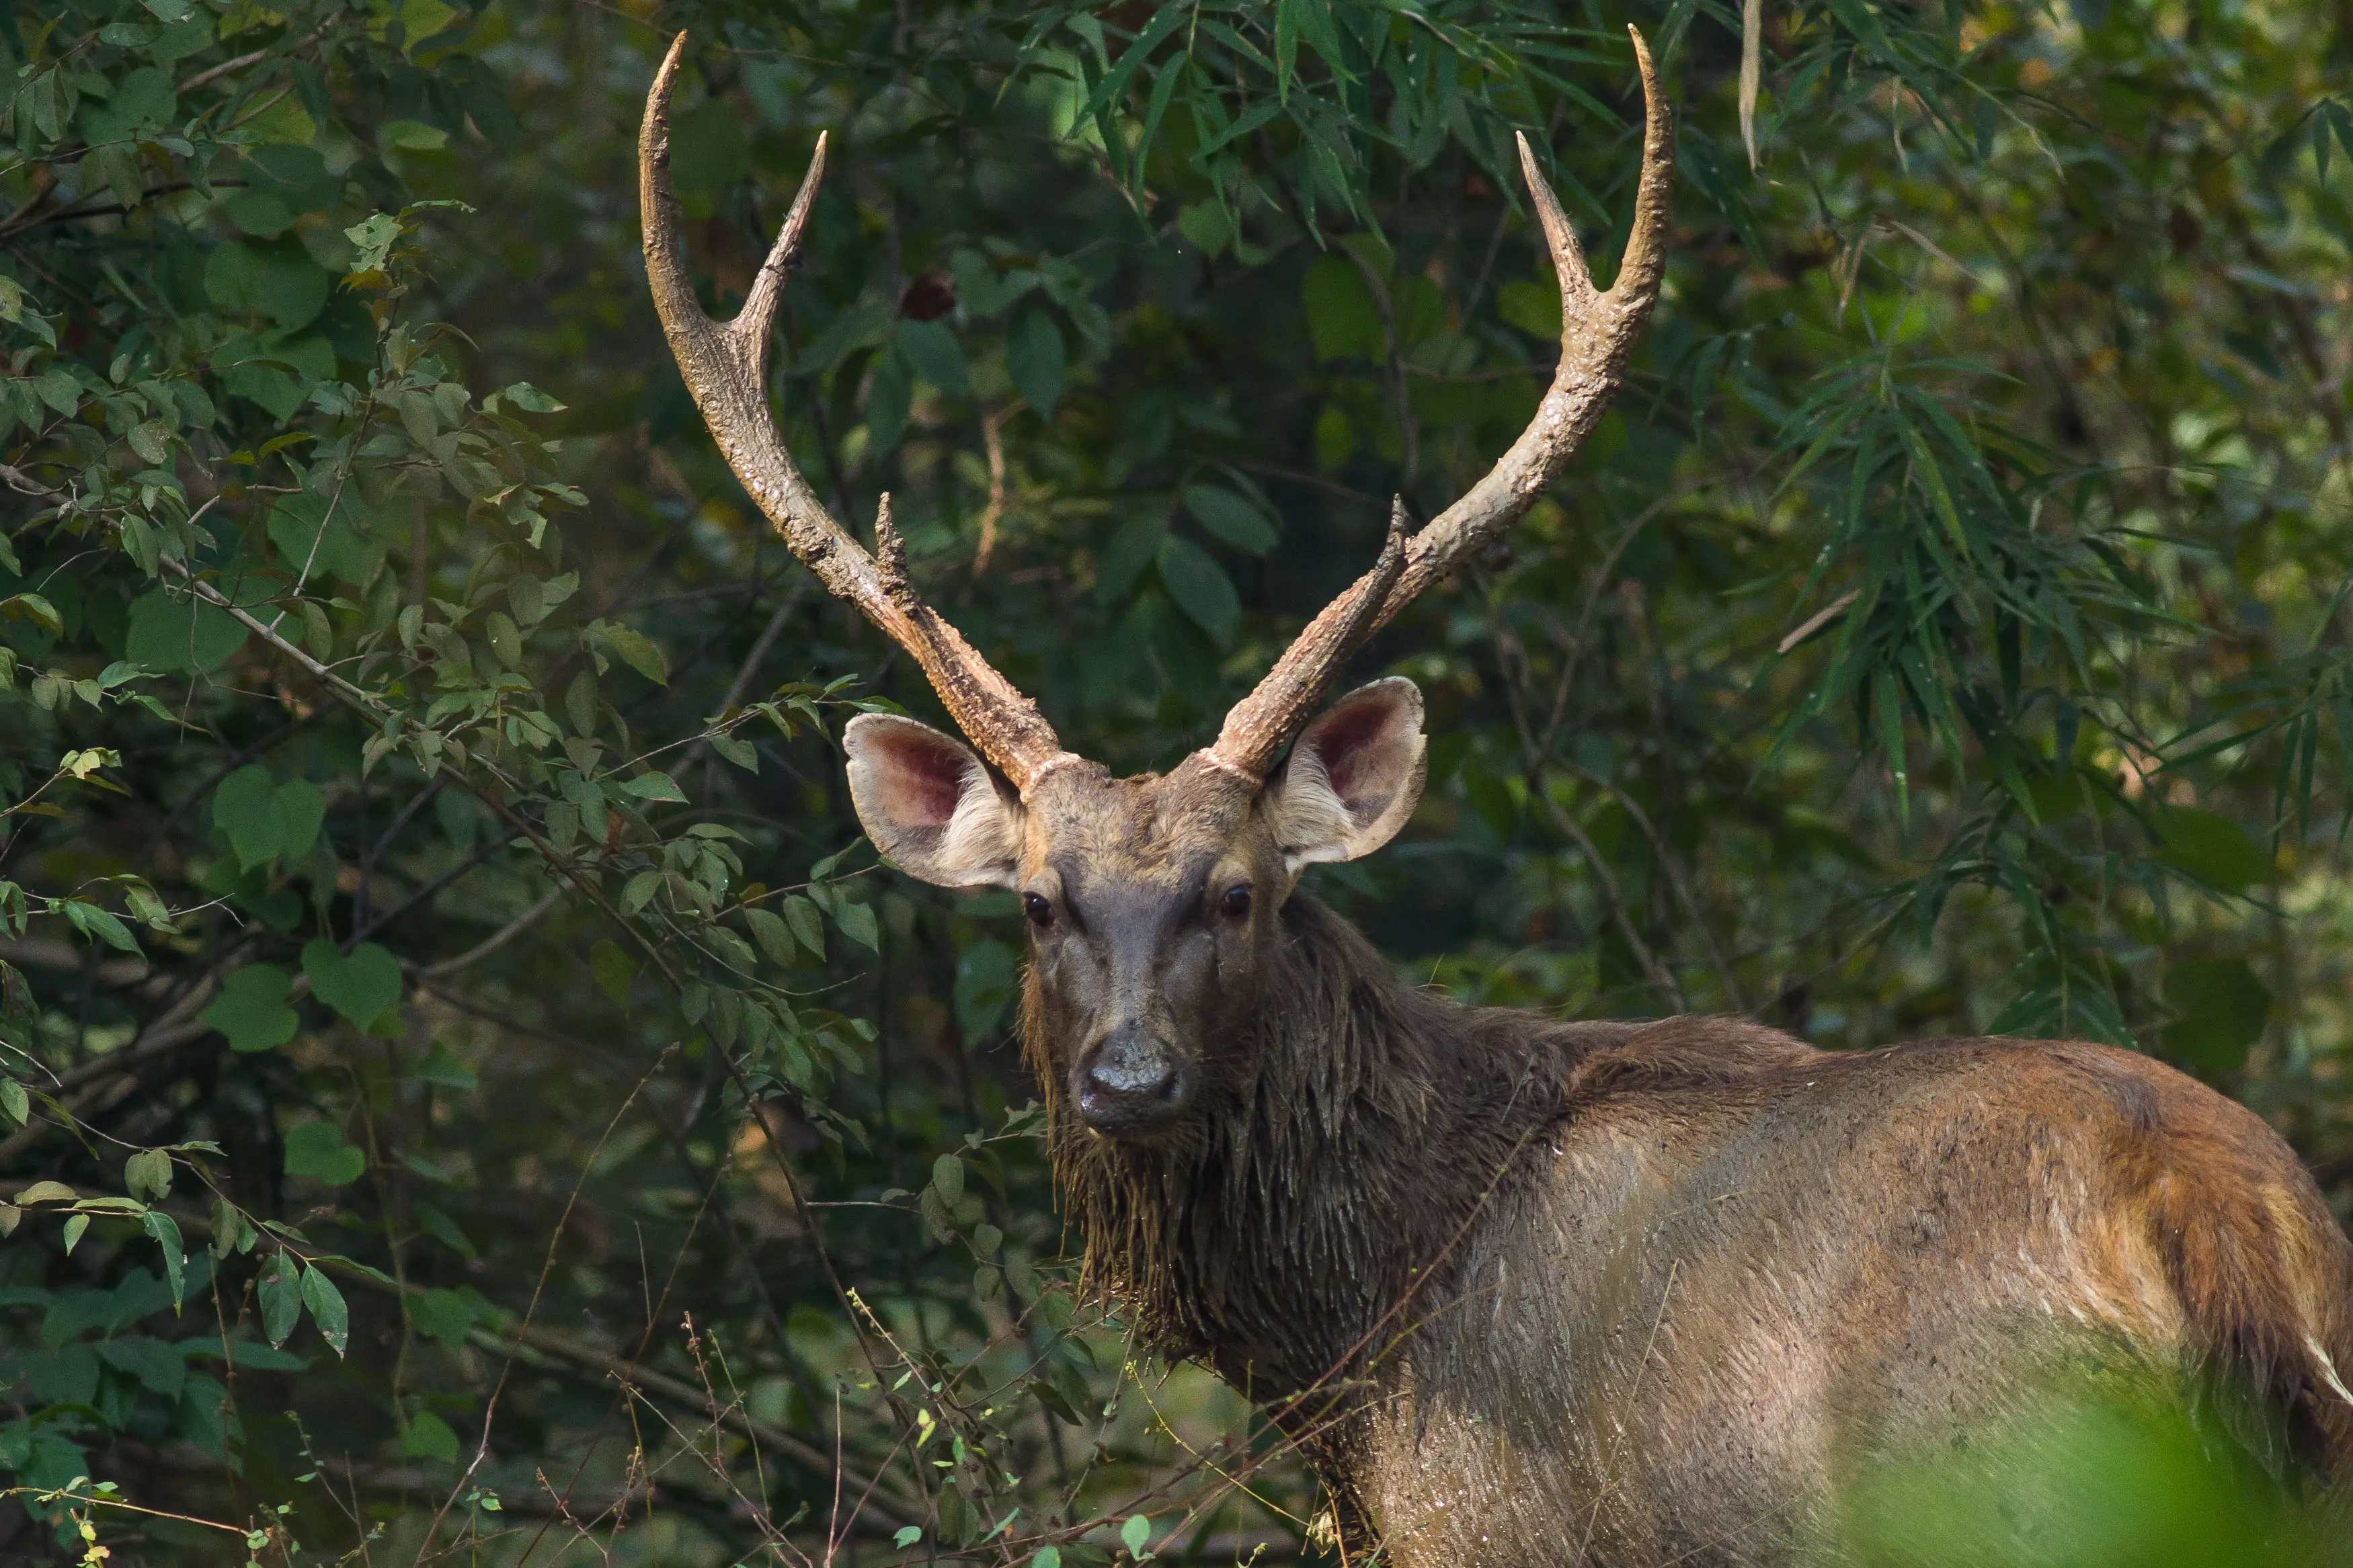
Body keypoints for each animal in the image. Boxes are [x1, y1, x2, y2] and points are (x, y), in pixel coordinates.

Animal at [637, 31, 2353, 1565]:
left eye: (1241, 891)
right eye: (1042, 905)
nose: (1126, 1076)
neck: (1356, 1331)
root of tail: (2213, 1230)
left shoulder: (1487, 1528)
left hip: (2002, 1479)